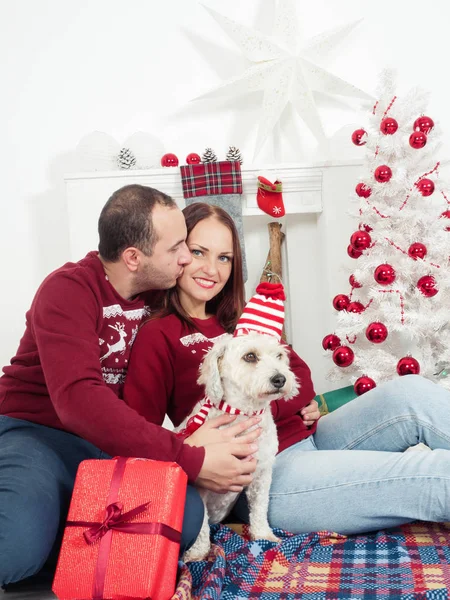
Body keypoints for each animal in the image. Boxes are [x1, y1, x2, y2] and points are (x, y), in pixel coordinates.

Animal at [175, 328, 298, 564]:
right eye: (250, 356)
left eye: (279, 355)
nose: (280, 378)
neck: (243, 413)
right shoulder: (201, 486)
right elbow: (202, 526)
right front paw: (198, 552)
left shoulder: (261, 476)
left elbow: (259, 509)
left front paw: (263, 535)